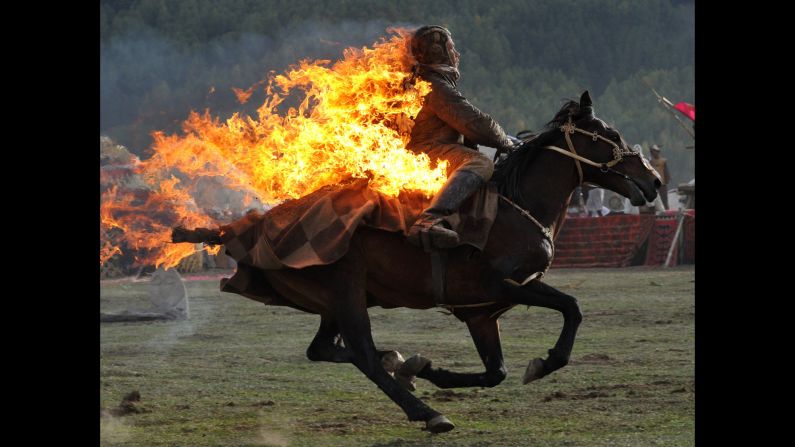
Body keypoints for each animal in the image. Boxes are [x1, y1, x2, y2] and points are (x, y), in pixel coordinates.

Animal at [173, 92, 660, 434]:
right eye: (610, 136)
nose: (654, 181)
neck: (517, 207)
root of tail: (252, 228)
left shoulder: (480, 314)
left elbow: (495, 372)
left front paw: (427, 369)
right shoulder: (505, 286)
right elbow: (571, 308)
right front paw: (546, 362)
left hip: (335, 302)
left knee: (325, 350)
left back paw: (400, 364)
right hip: (348, 296)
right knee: (362, 356)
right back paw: (425, 412)